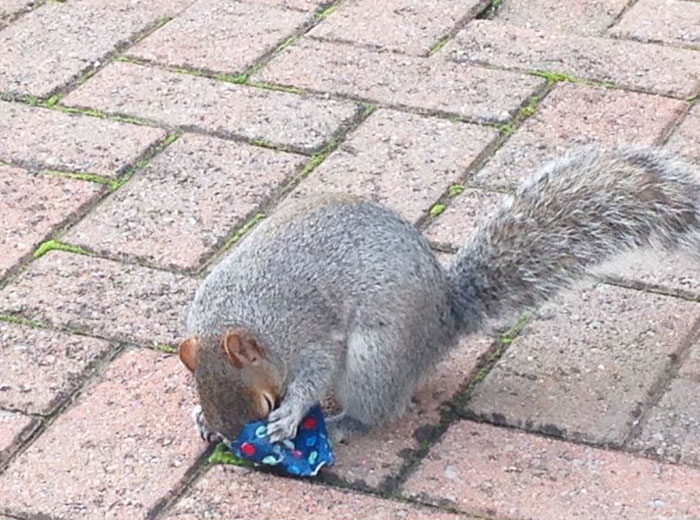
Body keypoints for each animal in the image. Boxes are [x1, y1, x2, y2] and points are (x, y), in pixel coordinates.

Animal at [178, 145, 700, 444]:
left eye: (267, 404)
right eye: (200, 389)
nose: (230, 439)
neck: (240, 314)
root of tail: (442, 321)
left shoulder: (309, 334)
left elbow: (313, 375)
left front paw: (290, 417)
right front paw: (200, 419)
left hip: (376, 359)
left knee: (378, 408)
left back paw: (347, 423)